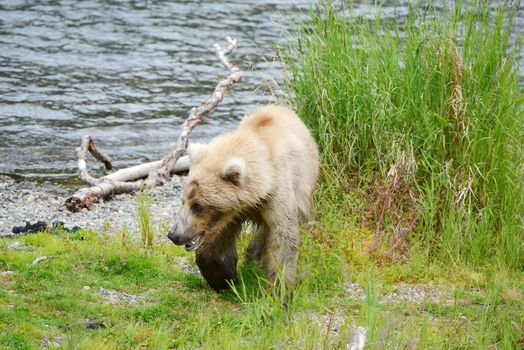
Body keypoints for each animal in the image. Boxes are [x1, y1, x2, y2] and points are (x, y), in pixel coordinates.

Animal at [168, 105, 320, 294]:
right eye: (183, 201)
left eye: (198, 206)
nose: (174, 235)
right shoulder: (232, 212)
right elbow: (217, 242)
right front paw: (224, 278)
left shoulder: (278, 192)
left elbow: (283, 237)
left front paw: (279, 291)